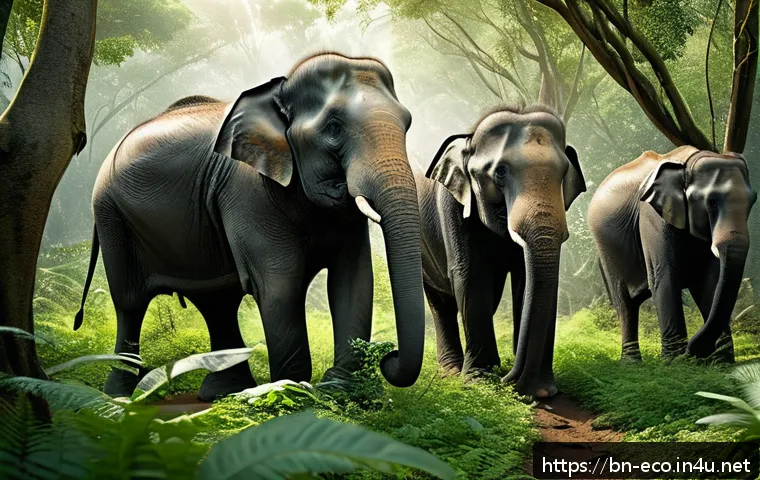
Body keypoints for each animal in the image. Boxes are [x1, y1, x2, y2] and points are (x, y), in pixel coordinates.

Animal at [74, 52, 425, 401]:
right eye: (334, 128)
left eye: (408, 124)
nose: (389, 357)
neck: (279, 92)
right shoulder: (248, 192)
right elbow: (280, 284)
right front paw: (294, 394)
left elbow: (353, 279)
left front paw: (340, 393)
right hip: (111, 216)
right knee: (131, 303)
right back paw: (118, 396)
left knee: (217, 302)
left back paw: (222, 392)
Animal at [416, 105, 586, 398]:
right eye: (501, 172)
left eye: (564, 173)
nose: (511, 382)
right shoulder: (452, 205)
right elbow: (470, 275)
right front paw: (479, 382)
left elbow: (529, 281)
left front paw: (542, 391)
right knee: (441, 302)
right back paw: (452, 371)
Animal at [588, 146, 757, 362]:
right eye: (711, 203)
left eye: (752, 202)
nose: (695, 352)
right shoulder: (651, 214)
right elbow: (664, 276)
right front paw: (674, 363)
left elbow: (709, 281)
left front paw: (722, 362)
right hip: (606, 250)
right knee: (625, 304)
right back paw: (632, 363)